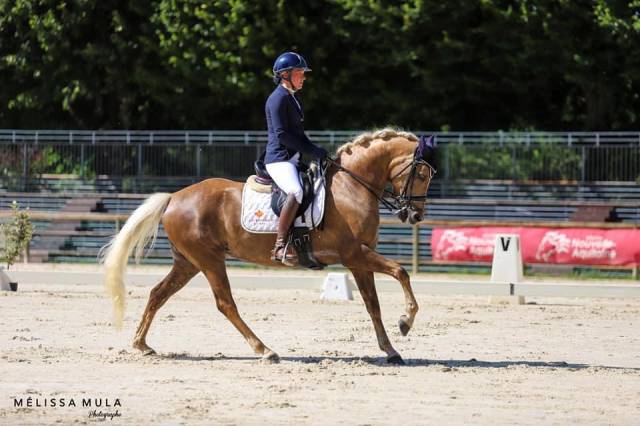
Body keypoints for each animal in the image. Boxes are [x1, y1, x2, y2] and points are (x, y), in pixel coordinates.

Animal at [102, 126, 438, 362]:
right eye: (422, 173)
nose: (415, 215)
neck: (351, 187)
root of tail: (173, 197)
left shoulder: (358, 259)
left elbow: (373, 304)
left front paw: (391, 350)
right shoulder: (354, 253)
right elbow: (400, 271)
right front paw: (406, 321)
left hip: (188, 262)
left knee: (159, 294)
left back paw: (142, 344)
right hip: (209, 260)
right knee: (225, 303)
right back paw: (264, 349)